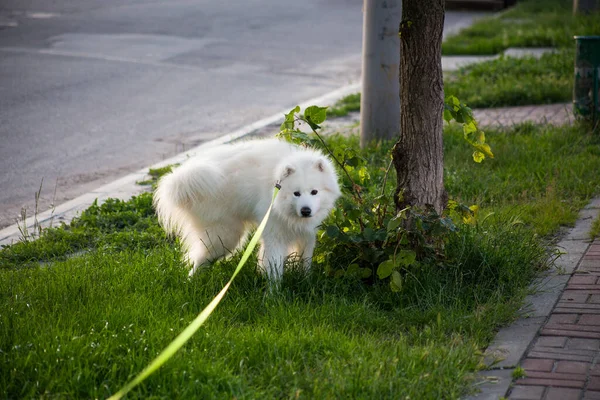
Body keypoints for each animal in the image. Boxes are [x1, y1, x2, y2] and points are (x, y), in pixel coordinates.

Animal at [154, 139, 342, 280]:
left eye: (314, 192)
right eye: (296, 193)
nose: (305, 211)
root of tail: (182, 182)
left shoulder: (307, 235)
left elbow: (305, 262)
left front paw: (305, 280)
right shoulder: (274, 234)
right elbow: (274, 267)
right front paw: (273, 295)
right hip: (224, 236)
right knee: (197, 259)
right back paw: (191, 282)